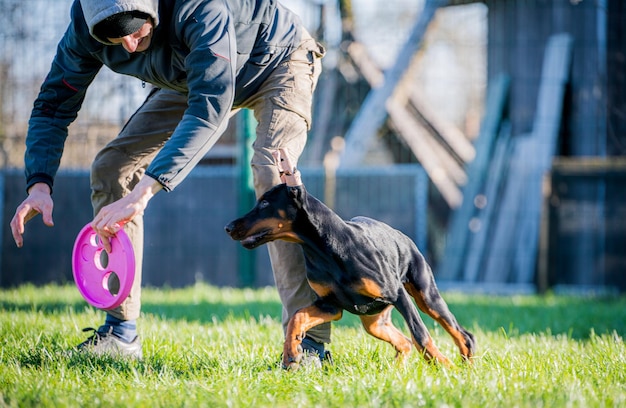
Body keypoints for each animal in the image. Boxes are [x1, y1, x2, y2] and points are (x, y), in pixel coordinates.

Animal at [224, 150, 472, 370]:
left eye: (265, 203)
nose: (228, 227)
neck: (324, 249)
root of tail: (403, 237)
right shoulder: (330, 304)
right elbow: (297, 316)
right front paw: (291, 353)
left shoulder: (397, 293)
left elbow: (421, 335)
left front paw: (443, 364)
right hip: (374, 321)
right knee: (404, 343)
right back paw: (397, 370)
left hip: (425, 295)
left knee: (461, 334)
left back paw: (463, 366)